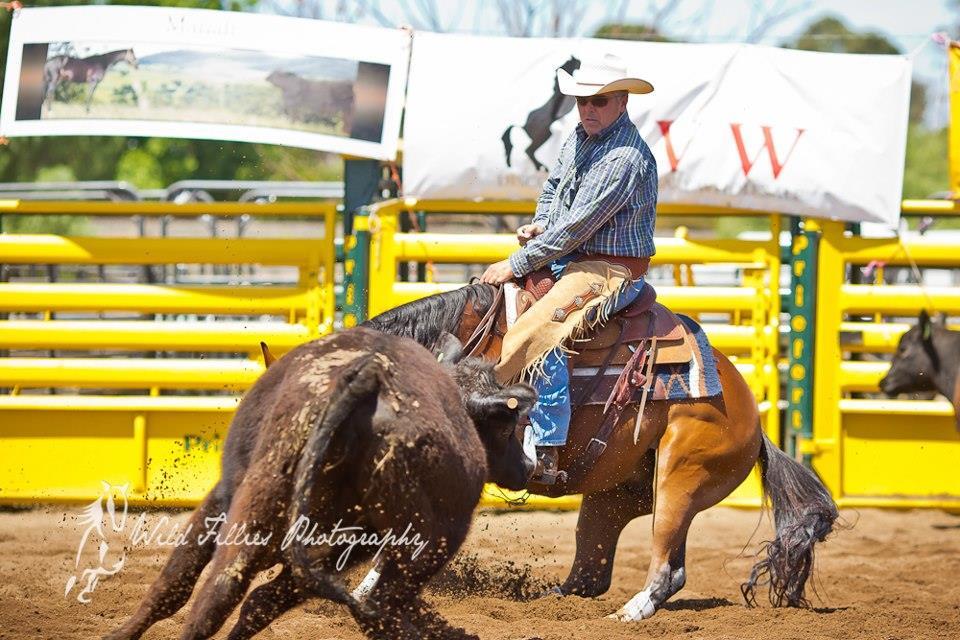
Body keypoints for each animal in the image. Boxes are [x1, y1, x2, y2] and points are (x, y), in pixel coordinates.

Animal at [105, 327, 536, 640]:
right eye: (505, 426)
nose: (527, 466)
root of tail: (368, 377)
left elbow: (230, 595)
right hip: (424, 546)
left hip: (263, 503)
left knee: (217, 592)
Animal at [363, 283, 839, 621]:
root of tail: (752, 417)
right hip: (615, 498)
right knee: (594, 574)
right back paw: (552, 603)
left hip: (679, 480)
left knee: (664, 567)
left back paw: (628, 613)